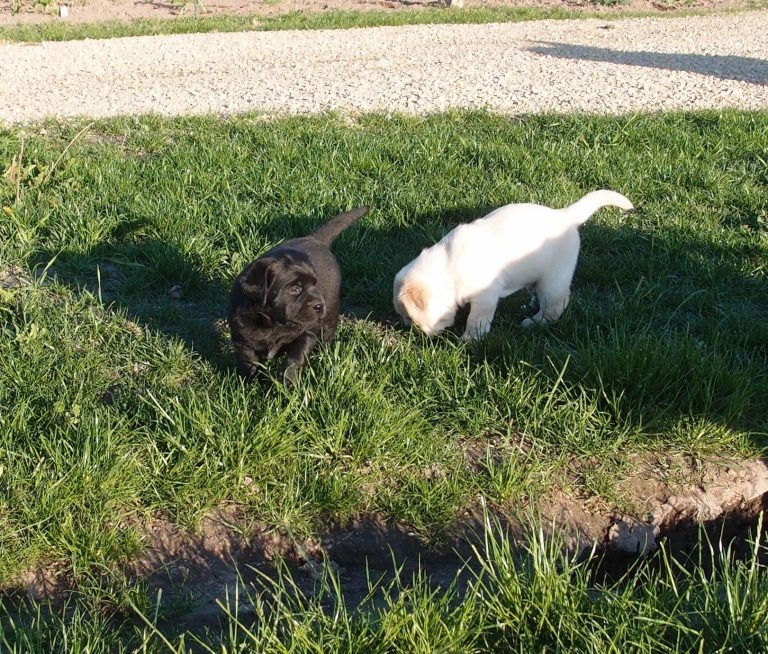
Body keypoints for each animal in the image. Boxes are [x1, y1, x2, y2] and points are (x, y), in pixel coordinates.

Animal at [228, 208, 368, 386]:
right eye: (295, 289)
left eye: (315, 284)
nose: (319, 305)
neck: (273, 324)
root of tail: (314, 238)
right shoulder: (242, 340)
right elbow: (249, 362)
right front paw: (251, 384)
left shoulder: (306, 332)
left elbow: (295, 359)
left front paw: (288, 382)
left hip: (330, 315)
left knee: (327, 334)